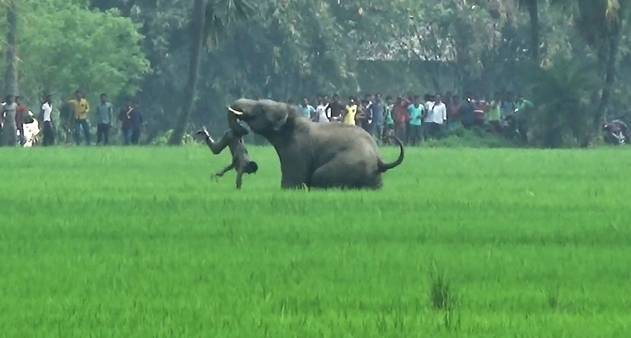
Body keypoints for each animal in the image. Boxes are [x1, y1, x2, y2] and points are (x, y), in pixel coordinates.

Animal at [228, 97, 404, 189]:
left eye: (261, 109)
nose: (241, 130)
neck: (292, 119)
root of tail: (379, 161)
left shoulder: (297, 150)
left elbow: (292, 182)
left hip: (350, 164)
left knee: (319, 175)